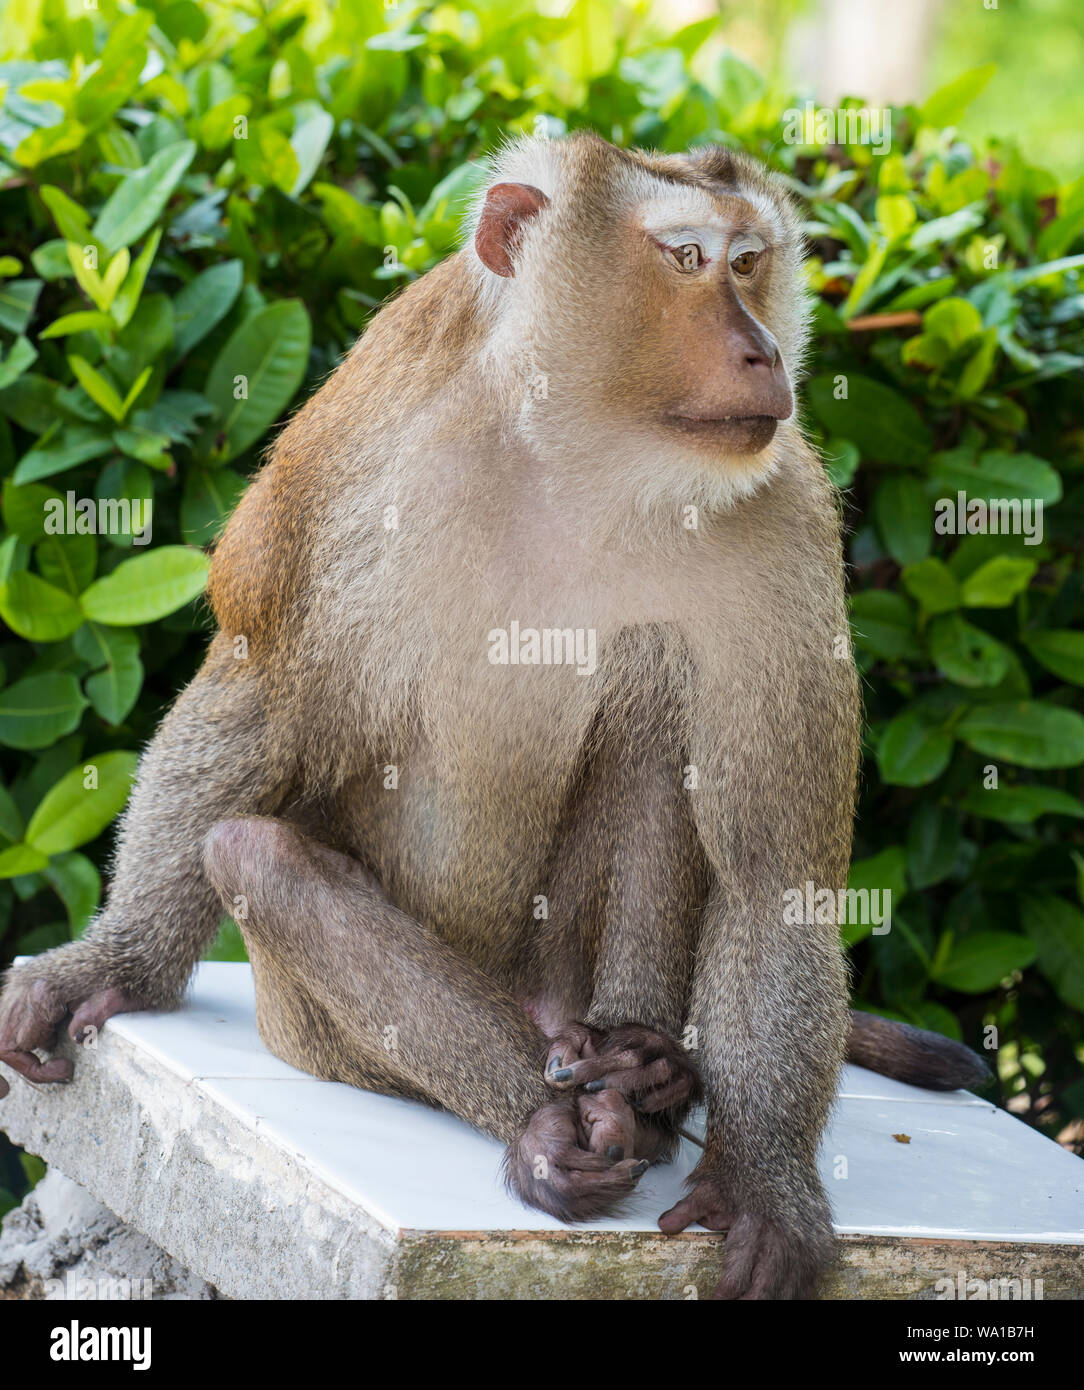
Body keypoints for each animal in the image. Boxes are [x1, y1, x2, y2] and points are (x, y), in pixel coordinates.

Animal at [0, 132, 989, 1301]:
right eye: (687, 258)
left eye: (750, 263)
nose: (761, 355)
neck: (584, 454)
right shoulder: (359, 454)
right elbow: (259, 689)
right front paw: (114, 962)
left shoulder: (783, 518)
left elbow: (771, 871)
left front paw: (763, 1181)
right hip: (319, 1038)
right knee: (256, 853)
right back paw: (555, 1120)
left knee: (657, 682)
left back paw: (641, 1071)